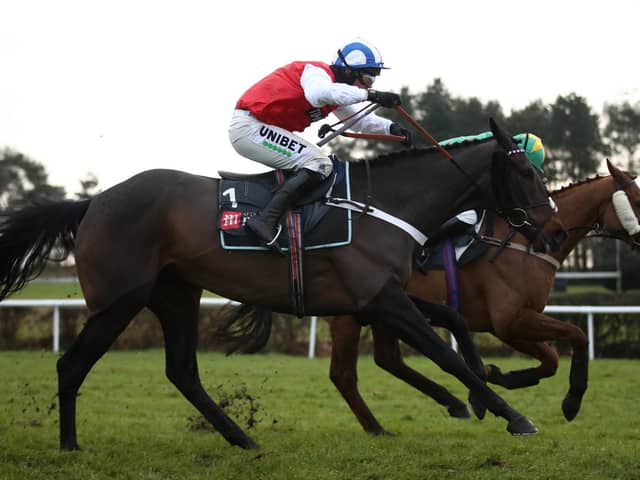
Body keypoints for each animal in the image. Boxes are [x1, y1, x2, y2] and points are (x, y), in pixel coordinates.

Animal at [0, 118, 556, 448]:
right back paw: (69, 445)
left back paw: (242, 439)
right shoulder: (383, 300)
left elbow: (456, 322)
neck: (384, 205)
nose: (552, 226)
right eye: (527, 173)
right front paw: (513, 414)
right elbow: (444, 356)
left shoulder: (379, 299)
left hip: (177, 293)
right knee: (72, 365)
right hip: (119, 301)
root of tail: (92, 202)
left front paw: (486, 385)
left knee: (182, 371)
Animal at [330, 160, 640, 436]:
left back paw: (448, 404)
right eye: (637, 200)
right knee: (344, 375)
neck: (527, 243)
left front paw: (495, 377)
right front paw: (571, 401)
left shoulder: (516, 322)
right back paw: (377, 427)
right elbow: (576, 336)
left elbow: (551, 359)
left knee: (387, 359)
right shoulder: (509, 322)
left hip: (387, 314)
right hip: (352, 315)